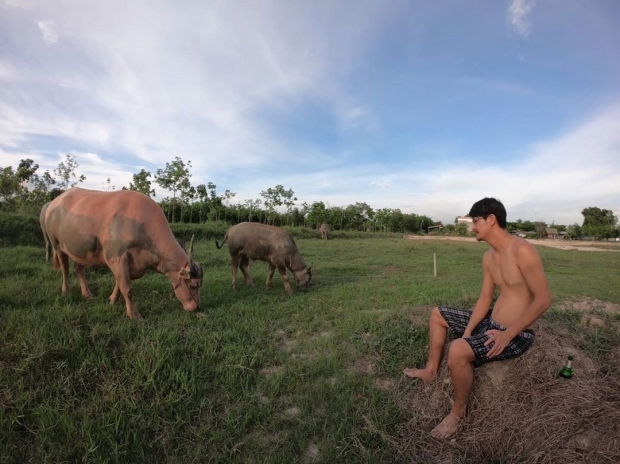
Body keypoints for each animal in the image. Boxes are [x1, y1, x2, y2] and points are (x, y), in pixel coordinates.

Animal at [44, 186, 203, 320]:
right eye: (194, 285)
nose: (197, 308)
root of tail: (54, 201)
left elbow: (119, 284)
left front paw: (112, 300)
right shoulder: (117, 257)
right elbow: (127, 288)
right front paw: (134, 315)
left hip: (80, 250)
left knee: (79, 270)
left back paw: (87, 294)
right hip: (56, 244)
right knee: (65, 269)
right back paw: (66, 291)